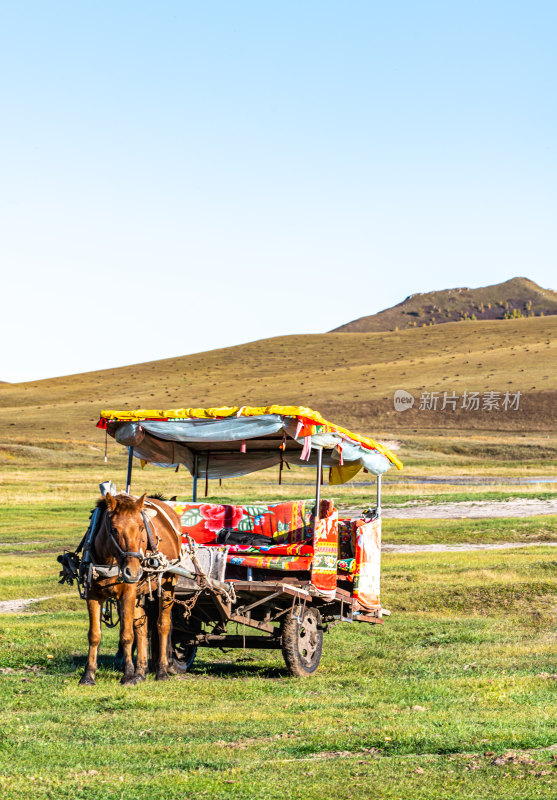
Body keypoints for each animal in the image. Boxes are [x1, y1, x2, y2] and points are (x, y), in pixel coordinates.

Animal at [78, 490, 180, 684]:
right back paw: (140, 671)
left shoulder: (128, 593)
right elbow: (94, 635)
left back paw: (162, 670)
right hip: (139, 594)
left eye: (141, 528)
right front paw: (88, 675)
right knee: (142, 628)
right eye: (114, 529)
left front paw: (127, 674)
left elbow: (126, 635)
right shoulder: (93, 594)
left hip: (167, 587)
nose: (132, 571)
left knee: (163, 626)